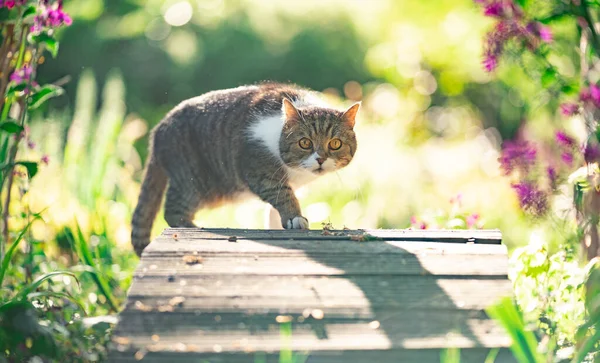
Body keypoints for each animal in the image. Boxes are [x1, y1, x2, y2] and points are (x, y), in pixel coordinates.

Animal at [129, 84, 358, 258]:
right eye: (305, 143)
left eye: (335, 144)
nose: (320, 159)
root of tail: (158, 130)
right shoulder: (259, 169)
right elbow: (283, 195)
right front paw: (295, 218)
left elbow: (274, 209)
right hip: (195, 181)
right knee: (173, 210)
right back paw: (191, 227)